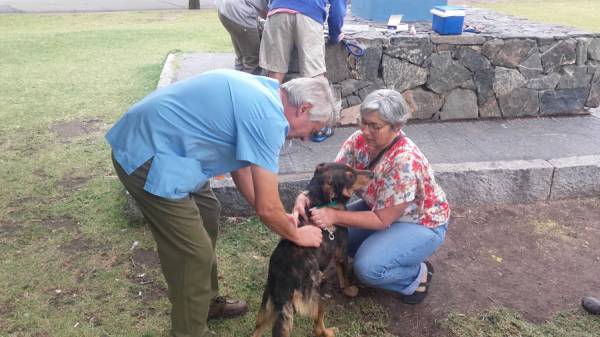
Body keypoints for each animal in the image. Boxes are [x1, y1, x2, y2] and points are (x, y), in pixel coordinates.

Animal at [251, 161, 372, 334]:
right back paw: (329, 331)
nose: (372, 173)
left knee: (256, 330)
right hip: (316, 301)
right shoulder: (341, 254)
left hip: (267, 307)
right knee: (318, 326)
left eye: (352, 167)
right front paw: (349, 290)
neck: (320, 202)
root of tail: (284, 288)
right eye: (350, 176)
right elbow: (344, 277)